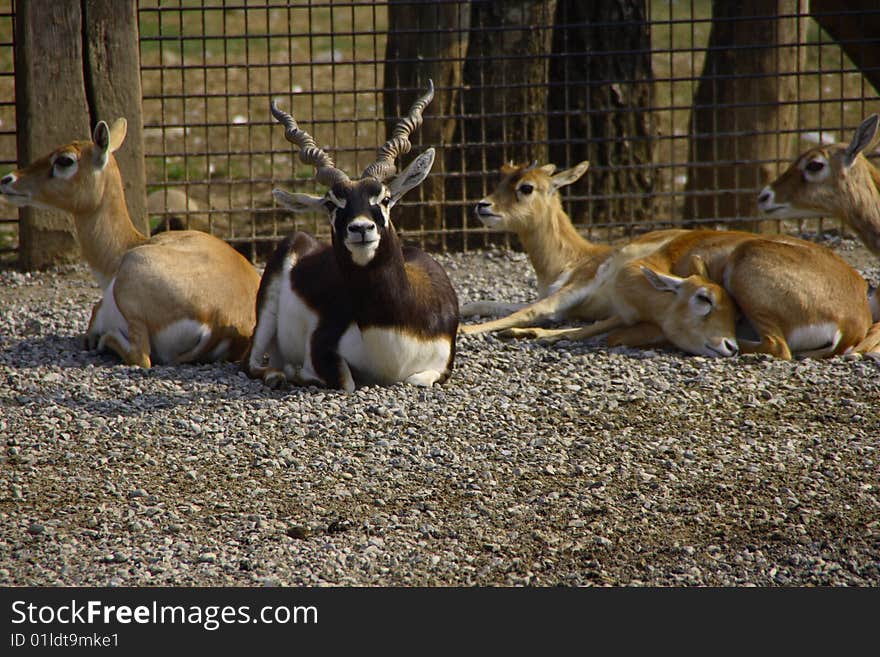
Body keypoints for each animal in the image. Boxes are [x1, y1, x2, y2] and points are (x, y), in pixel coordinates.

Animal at [242, 80, 460, 390]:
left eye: (385, 198)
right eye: (331, 204)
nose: (361, 228)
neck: (391, 324)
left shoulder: (443, 364)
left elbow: (417, 380)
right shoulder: (322, 347)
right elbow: (346, 382)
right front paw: (299, 372)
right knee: (250, 362)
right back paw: (279, 374)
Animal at [460, 162, 880, 362]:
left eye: (525, 187)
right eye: (498, 178)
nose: (482, 205)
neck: (575, 257)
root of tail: (852, 314)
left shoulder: (583, 286)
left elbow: (535, 309)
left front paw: (471, 331)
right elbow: (491, 301)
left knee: (777, 346)